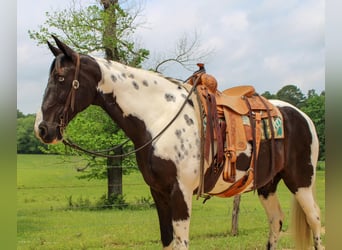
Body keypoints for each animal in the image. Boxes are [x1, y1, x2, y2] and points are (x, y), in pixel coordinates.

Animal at [33, 37, 322, 250]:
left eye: (60, 78)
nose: (42, 129)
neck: (158, 117)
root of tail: (303, 116)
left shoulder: (180, 192)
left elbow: (181, 243)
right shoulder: (158, 193)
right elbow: (167, 242)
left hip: (301, 182)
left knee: (316, 221)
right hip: (267, 184)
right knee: (276, 222)